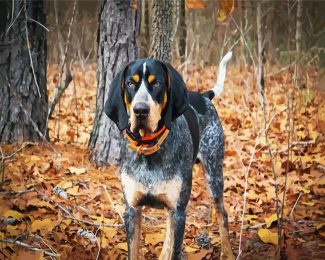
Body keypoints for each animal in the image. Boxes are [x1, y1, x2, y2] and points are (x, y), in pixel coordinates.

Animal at [104, 51, 233, 258]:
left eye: (157, 83)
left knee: (223, 214)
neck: (149, 149)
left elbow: (176, 248)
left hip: (214, 174)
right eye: (130, 84)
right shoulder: (132, 210)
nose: (140, 111)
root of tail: (204, 96)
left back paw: (228, 253)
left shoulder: (179, 212)